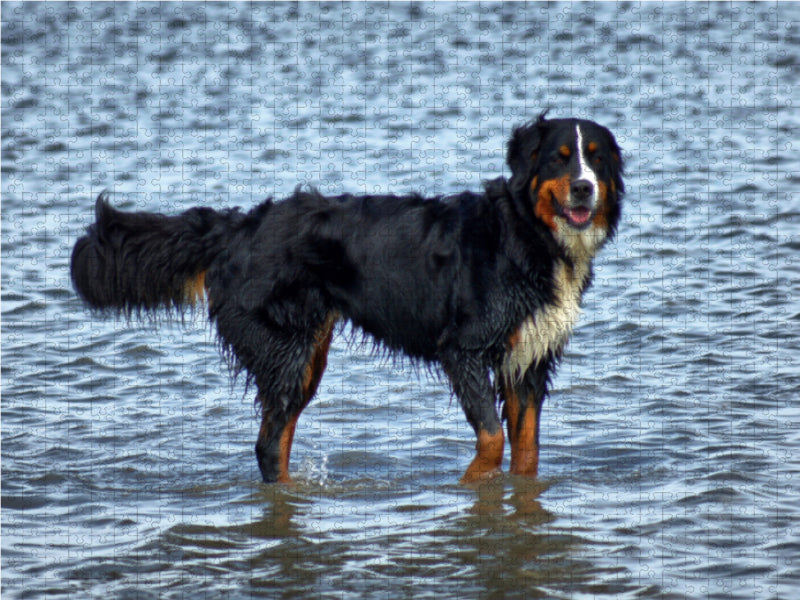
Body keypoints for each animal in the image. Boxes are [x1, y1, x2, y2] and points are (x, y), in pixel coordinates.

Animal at [72, 115, 624, 486]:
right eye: (558, 158)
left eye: (595, 157)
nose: (583, 188)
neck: (527, 238)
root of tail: (240, 226)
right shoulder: (464, 349)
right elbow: (491, 439)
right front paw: (470, 484)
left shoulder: (529, 359)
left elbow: (526, 453)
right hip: (286, 351)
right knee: (268, 443)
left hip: (305, 356)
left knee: (276, 440)